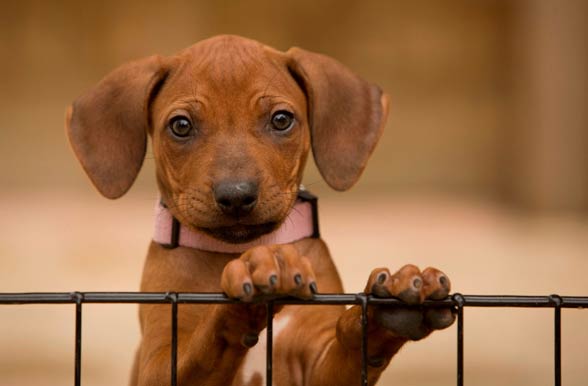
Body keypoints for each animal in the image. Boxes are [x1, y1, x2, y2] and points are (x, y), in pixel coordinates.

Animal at [66, 34, 458, 384]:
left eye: (281, 120)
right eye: (181, 125)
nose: (236, 196)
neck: (239, 248)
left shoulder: (317, 363)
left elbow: (353, 340)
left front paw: (389, 306)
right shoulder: (158, 361)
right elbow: (204, 343)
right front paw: (249, 286)